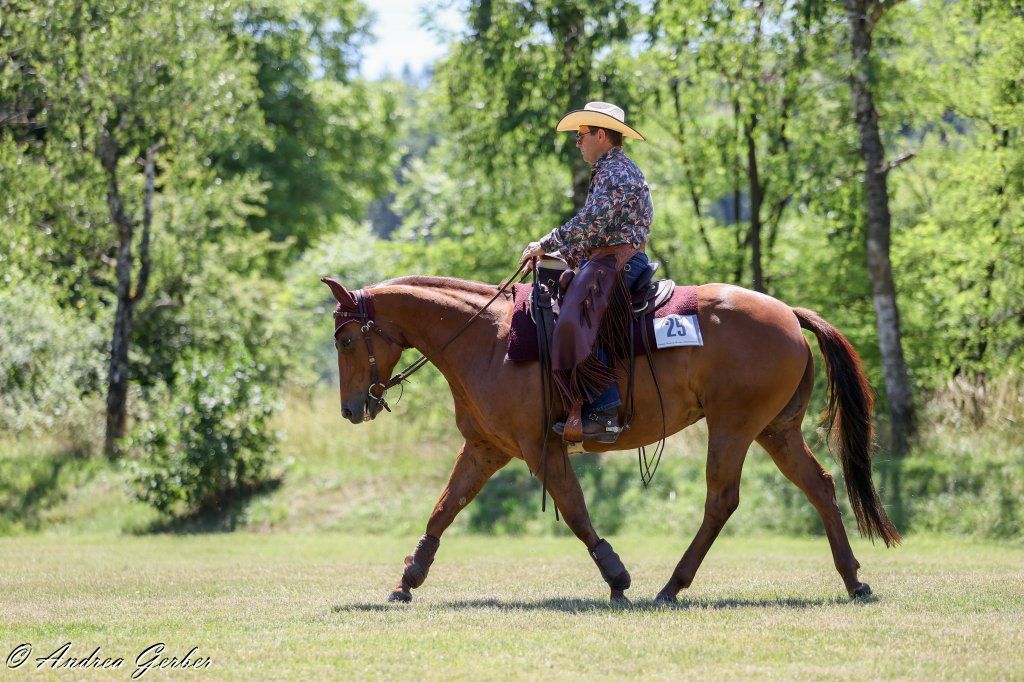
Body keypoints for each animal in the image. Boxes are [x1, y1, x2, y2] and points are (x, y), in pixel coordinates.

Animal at [322, 274, 900, 604]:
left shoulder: (539, 448)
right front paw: (407, 580)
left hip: (733, 427)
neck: (489, 339)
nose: (351, 409)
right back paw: (854, 580)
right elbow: (443, 510)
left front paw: (617, 577)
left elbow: (575, 511)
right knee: (820, 486)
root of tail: (789, 315)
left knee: (721, 501)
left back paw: (671, 586)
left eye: (347, 340)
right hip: (776, 431)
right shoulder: (485, 449)